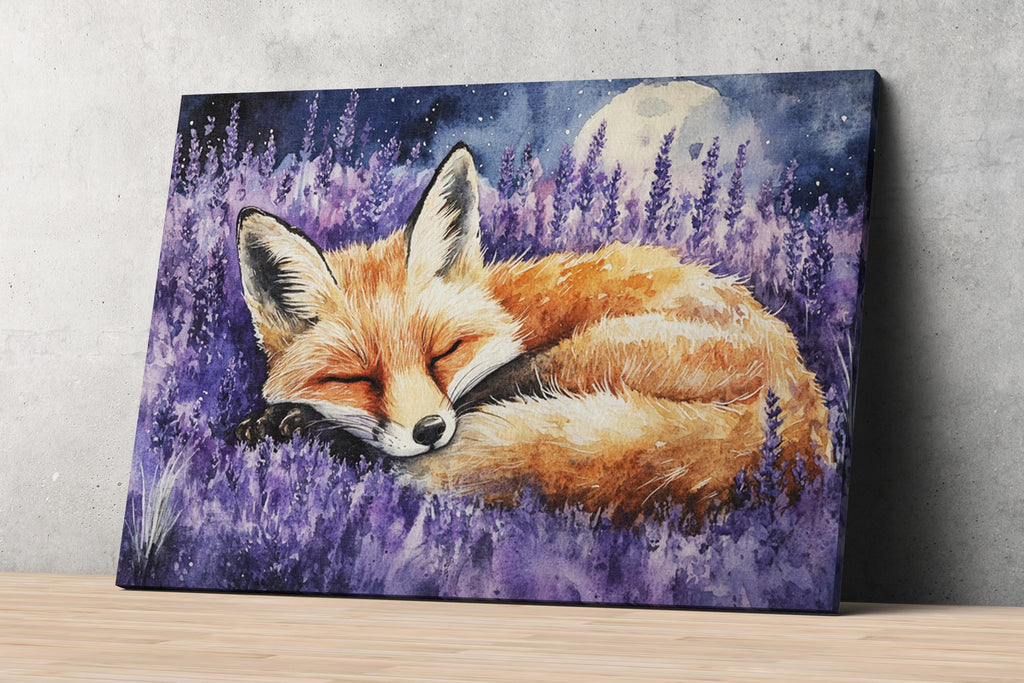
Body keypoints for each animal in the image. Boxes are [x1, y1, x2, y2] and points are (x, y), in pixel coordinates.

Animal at [234, 142, 832, 524]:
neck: (510, 307)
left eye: (444, 352)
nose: (429, 430)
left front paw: (296, 424)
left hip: (578, 355)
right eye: (356, 378)